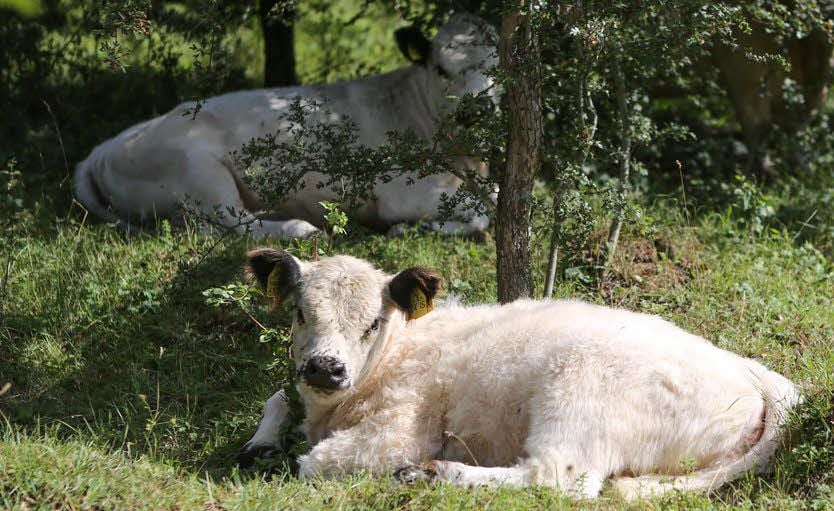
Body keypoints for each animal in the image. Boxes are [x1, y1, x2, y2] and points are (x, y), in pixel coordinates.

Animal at [73, 15, 494, 239]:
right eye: (441, 69)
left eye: (497, 64)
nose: (476, 110)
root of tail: (100, 151)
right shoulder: (403, 191)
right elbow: (482, 212)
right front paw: (410, 229)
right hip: (198, 170)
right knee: (231, 223)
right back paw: (300, 228)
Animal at [237, 250, 796, 502]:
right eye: (300, 313)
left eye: (373, 323)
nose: (324, 368)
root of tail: (756, 379)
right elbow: (276, 403)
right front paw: (261, 440)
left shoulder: (396, 432)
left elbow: (309, 463)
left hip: (578, 396)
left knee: (556, 478)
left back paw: (436, 474)